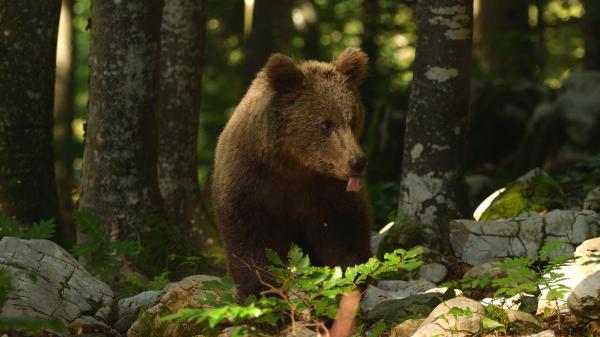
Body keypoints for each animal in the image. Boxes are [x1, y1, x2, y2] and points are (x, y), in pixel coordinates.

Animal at [210, 47, 370, 296]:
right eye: (325, 124)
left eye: (352, 120)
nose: (357, 162)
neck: (295, 165)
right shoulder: (249, 181)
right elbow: (248, 236)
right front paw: (259, 290)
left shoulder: (328, 191)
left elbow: (345, 232)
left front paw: (353, 279)